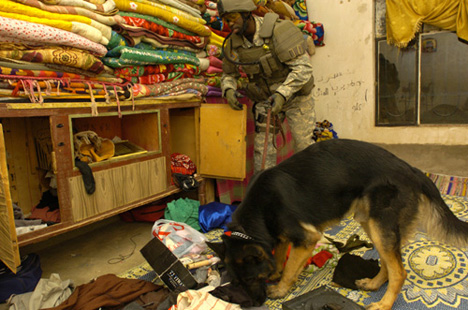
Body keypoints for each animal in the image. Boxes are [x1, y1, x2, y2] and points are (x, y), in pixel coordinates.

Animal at [208, 140, 468, 310]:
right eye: (238, 283)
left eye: (252, 280)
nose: (254, 304)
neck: (259, 210)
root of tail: (412, 169)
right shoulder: (280, 236)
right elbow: (281, 258)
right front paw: (276, 273)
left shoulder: (307, 239)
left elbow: (291, 268)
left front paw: (281, 288)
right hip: (372, 225)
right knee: (389, 263)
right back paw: (373, 284)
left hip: (379, 227)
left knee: (400, 272)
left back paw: (384, 304)